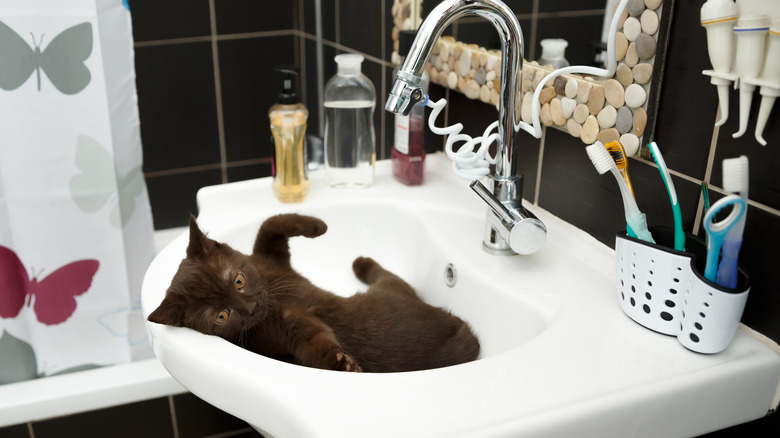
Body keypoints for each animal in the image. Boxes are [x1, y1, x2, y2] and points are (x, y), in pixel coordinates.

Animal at [143, 214, 478, 372]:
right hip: (394, 288)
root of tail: (467, 337)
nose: (250, 307)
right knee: (384, 274)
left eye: (238, 281)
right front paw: (342, 364)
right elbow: (314, 340)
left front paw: (317, 225)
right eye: (222, 316)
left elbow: (271, 225)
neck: (271, 289)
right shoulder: (284, 329)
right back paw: (361, 263)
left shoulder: (271, 256)